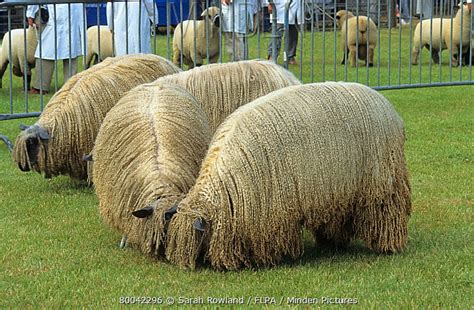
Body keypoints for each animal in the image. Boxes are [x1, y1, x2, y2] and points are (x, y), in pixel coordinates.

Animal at [163, 81, 412, 268]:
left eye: (195, 240)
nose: (191, 266)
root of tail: (386, 105)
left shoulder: (272, 210)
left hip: (383, 185)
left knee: (388, 215)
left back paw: (388, 246)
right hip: (339, 192)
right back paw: (332, 243)